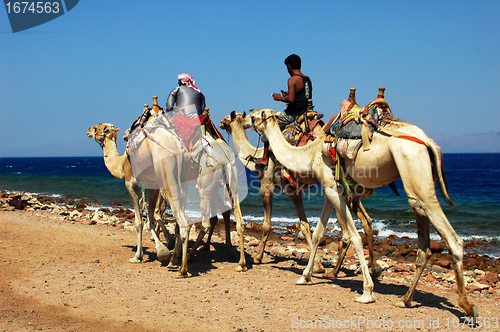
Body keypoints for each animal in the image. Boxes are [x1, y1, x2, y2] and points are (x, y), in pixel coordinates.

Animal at [220, 110, 378, 276]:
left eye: (227, 118)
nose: (220, 123)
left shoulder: (267, 185)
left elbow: (267, 225)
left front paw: (257, 257)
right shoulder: (294, 192)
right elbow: (305, 226)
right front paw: (318, 266)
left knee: (347, 233)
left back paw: (335, 271)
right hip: (350, 192)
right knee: (366, 220)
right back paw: (372, 267)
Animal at [248, 90, 478, 320]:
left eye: (257, 115)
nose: (247, 116)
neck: (311, 152)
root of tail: (428, 142)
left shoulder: (331, 187)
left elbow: (354, 237)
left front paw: (367, 292)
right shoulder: (331, 188)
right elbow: (318, 234)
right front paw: (305, 277)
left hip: (414, 167)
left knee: (453, 239)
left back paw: (467, 306)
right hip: (416, 177)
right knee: (425, 243)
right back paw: (405, 300)